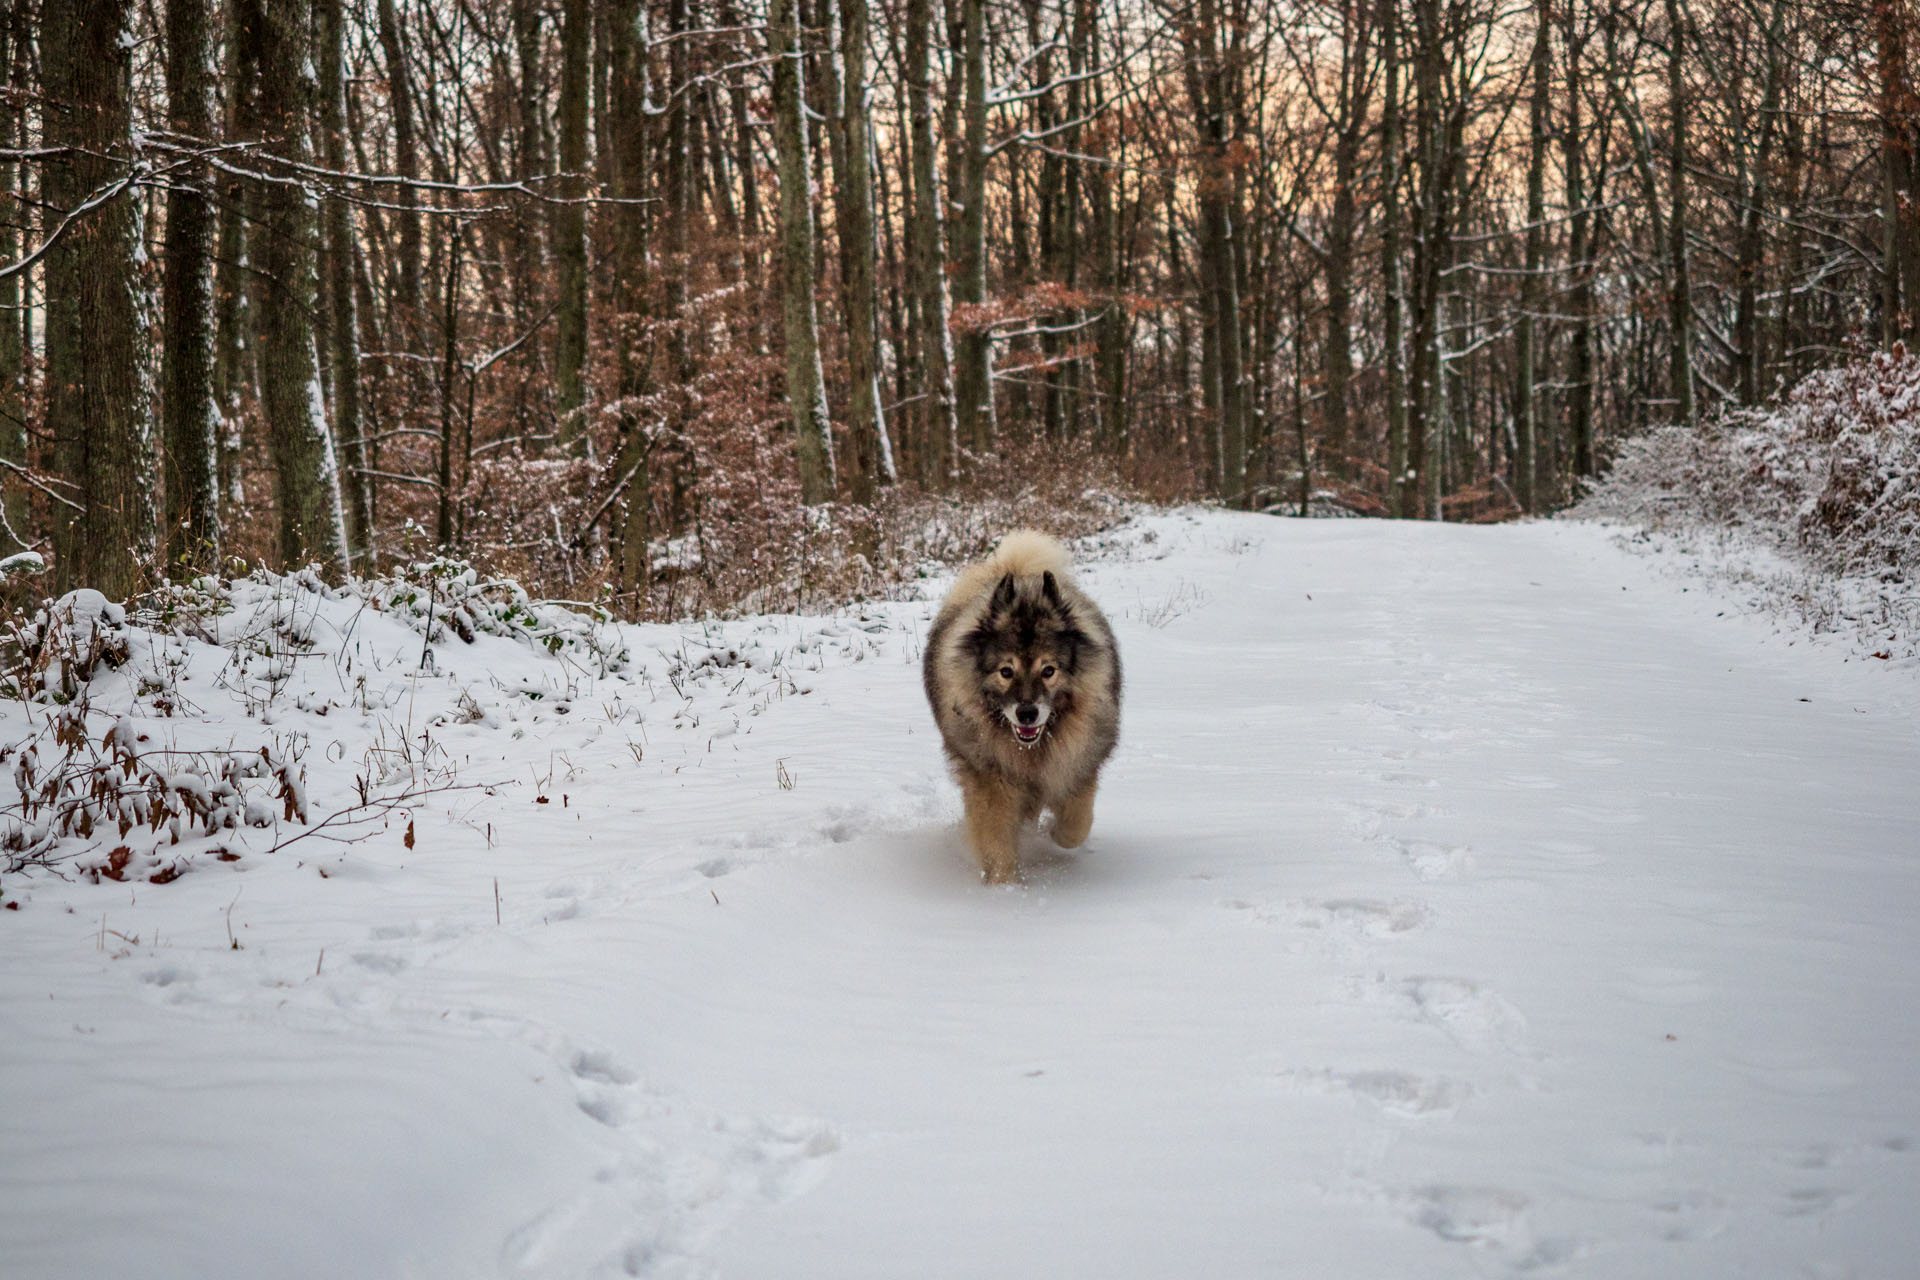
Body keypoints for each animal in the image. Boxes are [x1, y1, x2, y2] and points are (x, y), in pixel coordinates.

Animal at [917, 529, 1121, 882]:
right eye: (1006, 671)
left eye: (1048, 670)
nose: (1027, 713)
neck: (1033, 749)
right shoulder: (991, 780)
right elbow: (997, 840)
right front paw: (1004, 887)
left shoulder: (1077, 765)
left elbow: (1077, 823)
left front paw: (1056, 836)